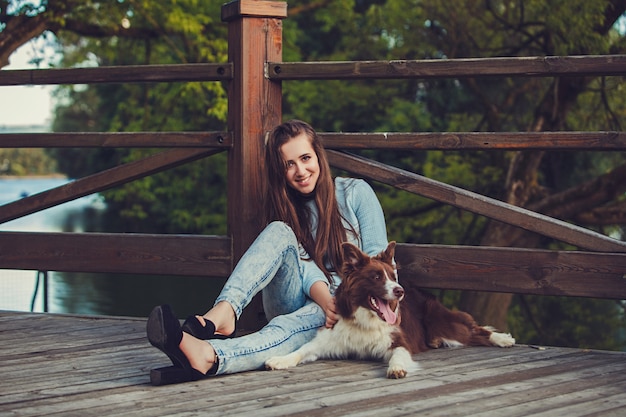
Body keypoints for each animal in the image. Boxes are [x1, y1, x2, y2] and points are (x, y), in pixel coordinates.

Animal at [264, 240, 512, 376]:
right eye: (375, 277)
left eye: (393, 276)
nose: (400, 291)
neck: (365, 320)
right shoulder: (328, 339)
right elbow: (302, 350)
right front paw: (279, 360)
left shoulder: (398, 341)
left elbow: (399, 355)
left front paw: (396, 368)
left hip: (440, 320)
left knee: (474, 329)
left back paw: (503, 339)